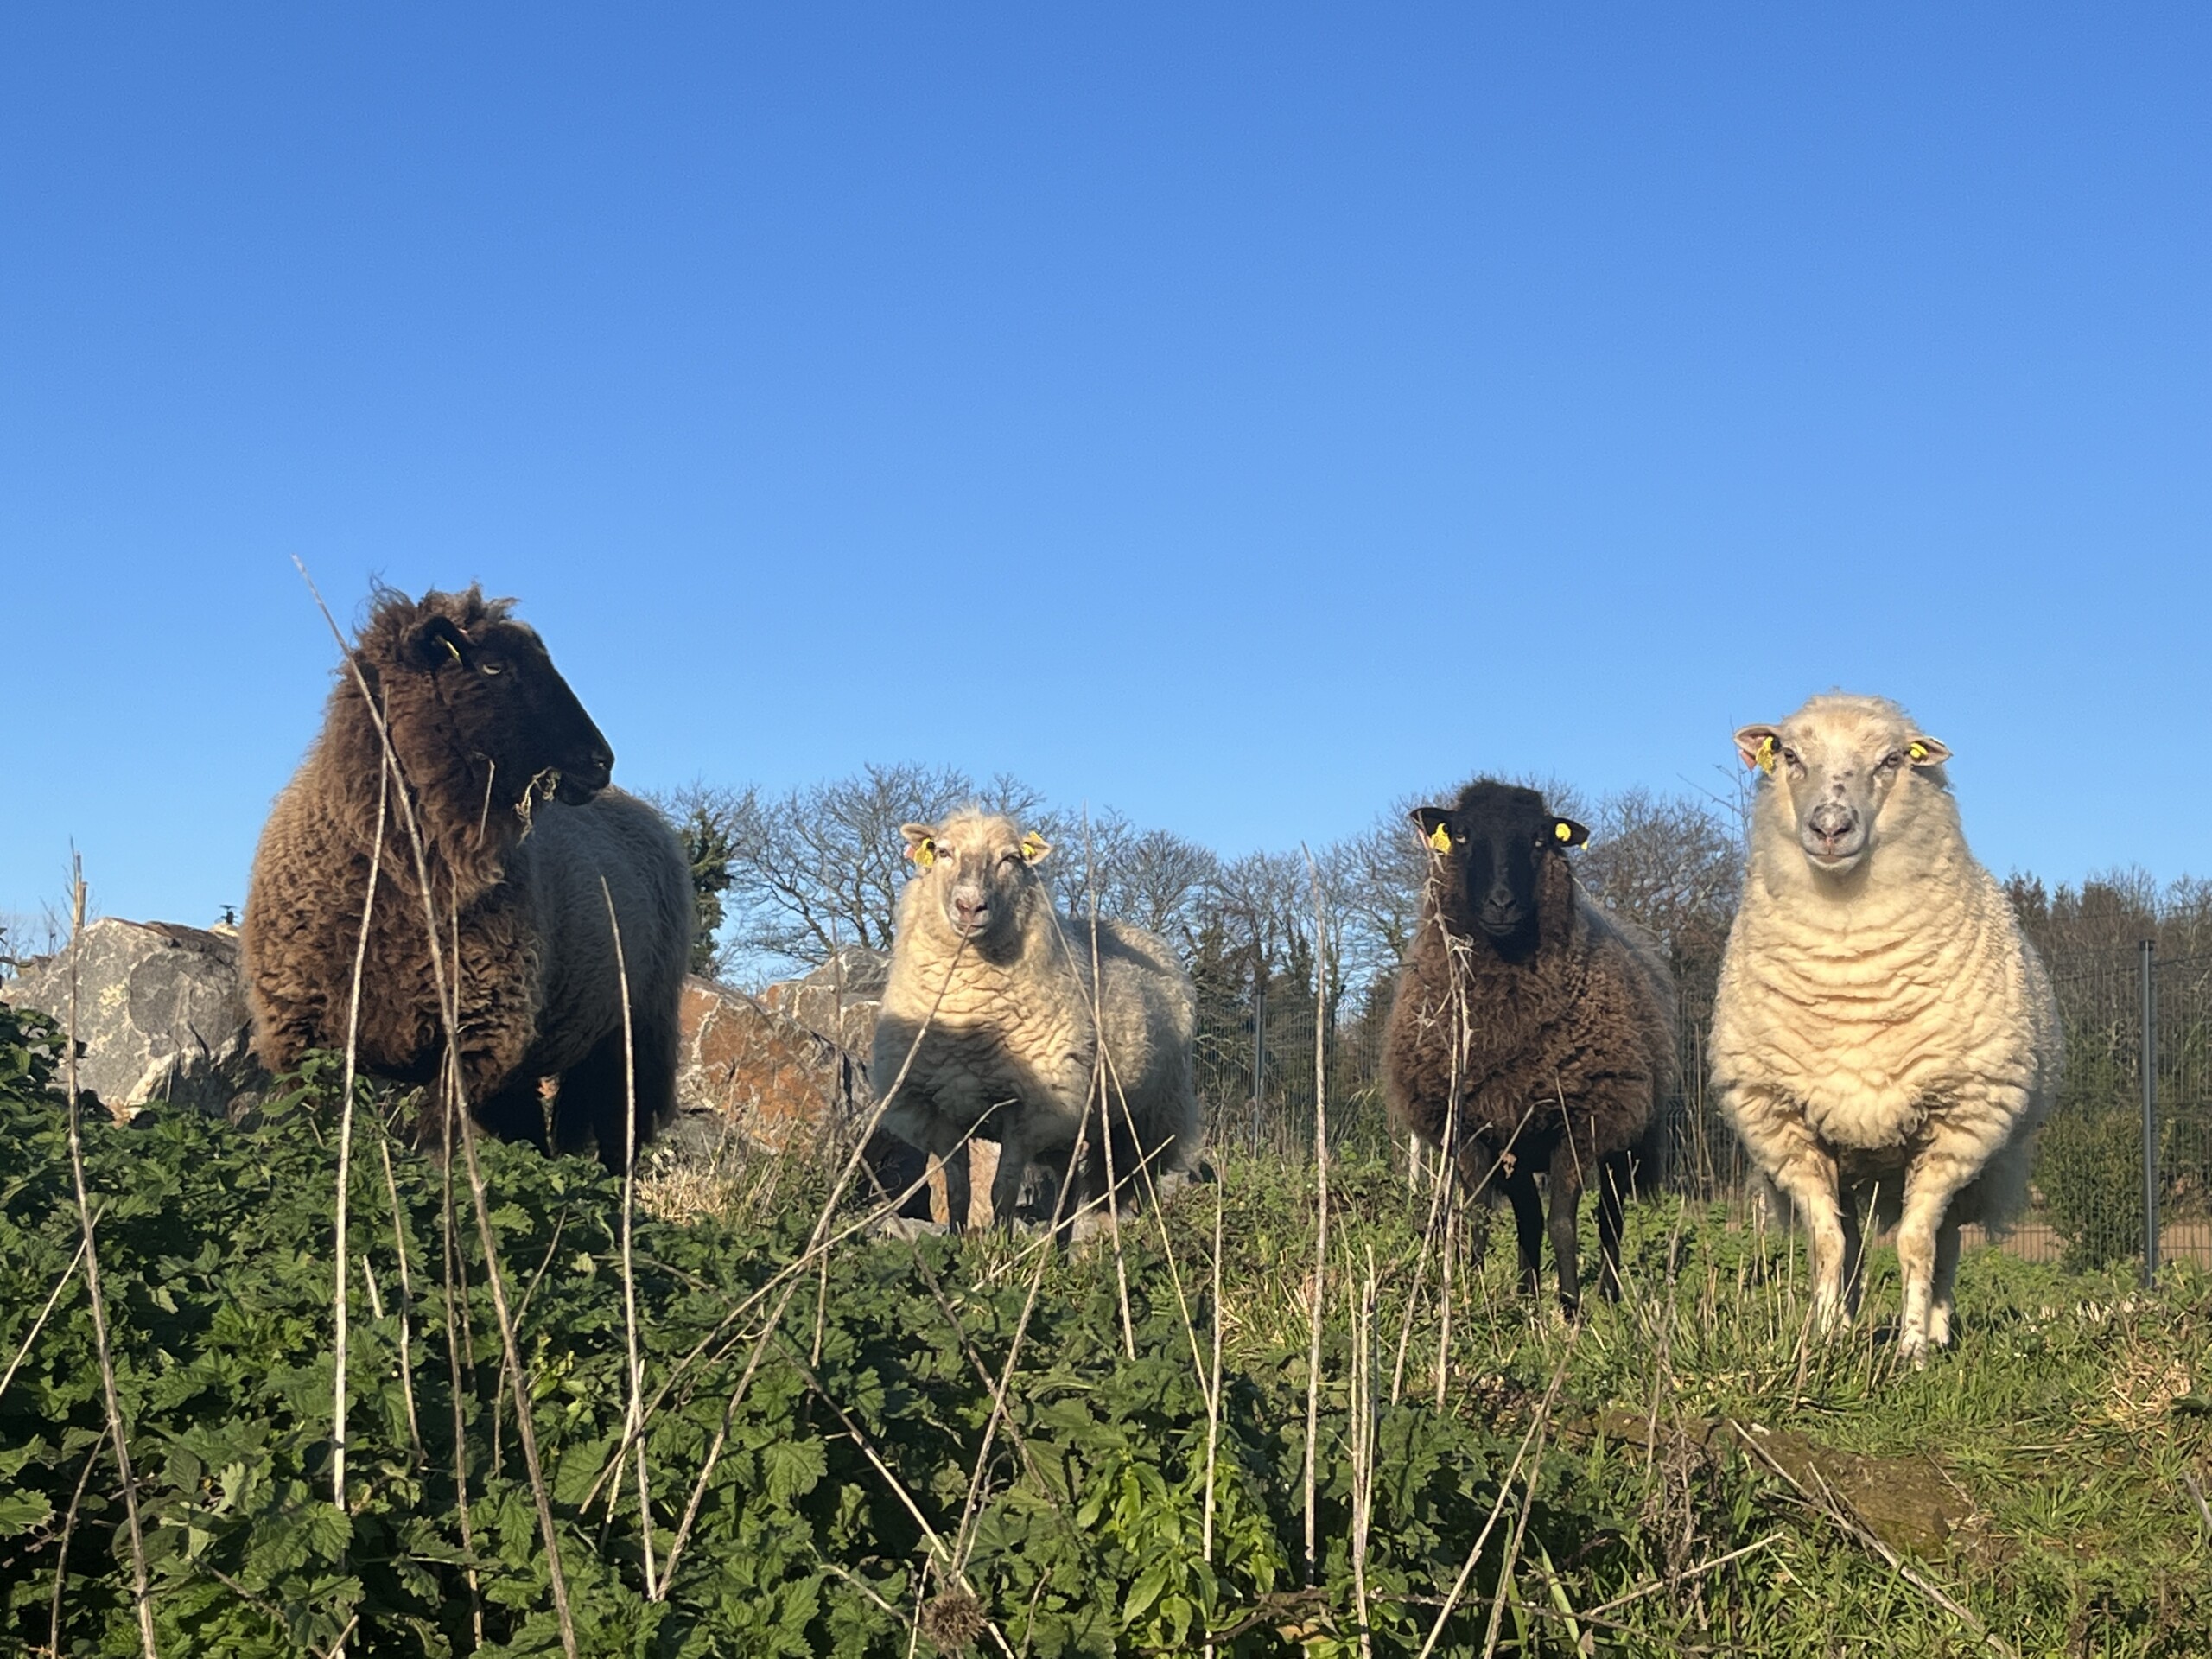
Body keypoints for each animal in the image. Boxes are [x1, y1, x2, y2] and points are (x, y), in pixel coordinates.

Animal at [241, 583, 690, 1167]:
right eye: (494, 666)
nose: (600, 761)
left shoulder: (477, 1038)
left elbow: (433, 1148)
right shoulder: (307, 1038)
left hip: (634, 1032)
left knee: (620, 1139)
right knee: (534, 1135)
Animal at [871, 814, 1203, 1238]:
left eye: (1010, 858)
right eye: (943, 852)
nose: (969, 906)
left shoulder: (1030, 1109)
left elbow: (1002, 1189)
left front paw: (999, 1243)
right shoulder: (940, 1108)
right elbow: (959, 1190)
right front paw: (956, 1242)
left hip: (1148, 1117)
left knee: (1139, 1183)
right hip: (1078, 1125)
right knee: (1067, 1194)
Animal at [1380, 779, 1672, 1309]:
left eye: (1541, 839)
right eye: (1461, 834)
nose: (1501, 904)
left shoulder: (1578, 1123)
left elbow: (1563, 1223)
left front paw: (1571, 1308)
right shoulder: (1475, 1128)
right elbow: (1482, 1214)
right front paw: (1472, 1292)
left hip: (1626, 1138)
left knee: (1611, 1218)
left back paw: (1608, 1296)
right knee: (1529, 1215)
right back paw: (1525, 1290)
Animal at [1707, 698, 2052, 1362]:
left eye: (1893, 760)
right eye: (1790, 755)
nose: (1830, 827)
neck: (1852, 972)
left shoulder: (1957, 1124)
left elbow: (1918, 1244)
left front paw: (1913, 1350)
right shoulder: (1787, 1125)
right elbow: (1828, 1246)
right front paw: (1822, 1340)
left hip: (1976, 1168)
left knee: (1946, 1243)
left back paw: (1937, 1333)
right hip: (1854, 1166)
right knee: (1857, 1246)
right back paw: (1850, 1324)